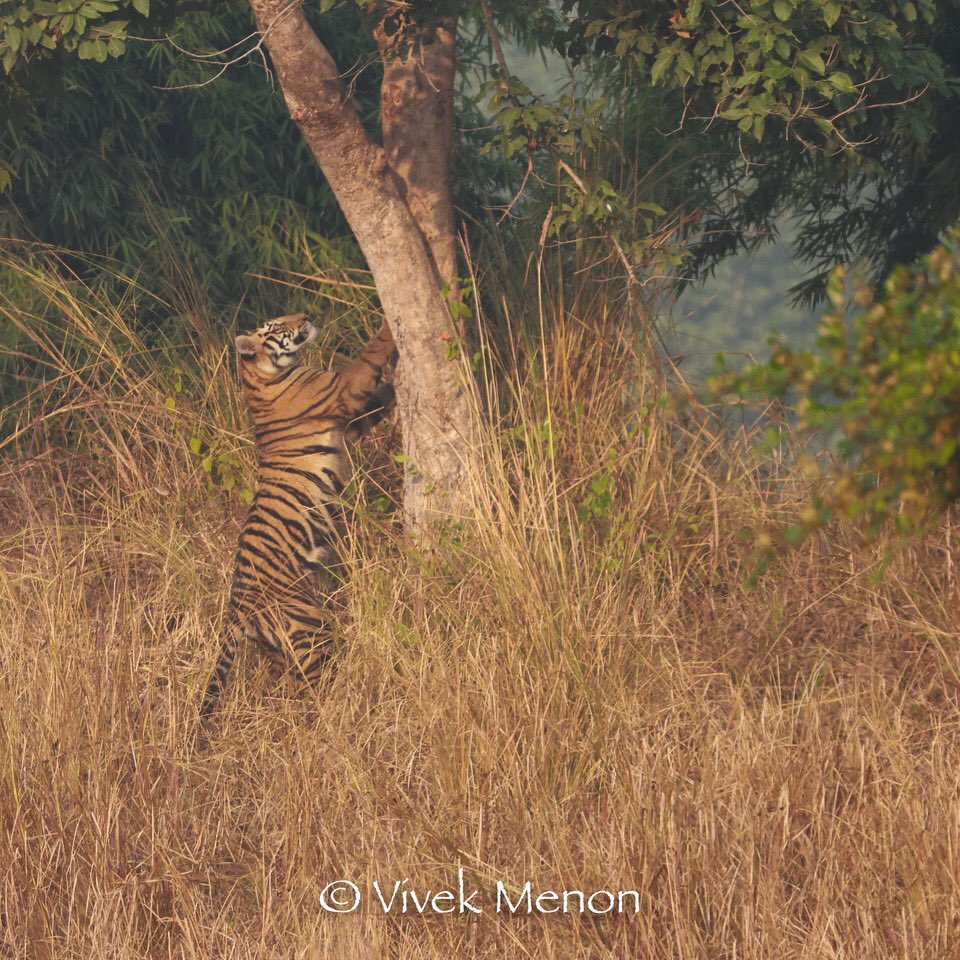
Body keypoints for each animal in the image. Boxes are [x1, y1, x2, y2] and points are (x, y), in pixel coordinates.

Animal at [201, 312, 396, 717]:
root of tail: (236, 614)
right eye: (277, 326)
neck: (256, 378)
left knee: (287, 681)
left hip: (278, 646)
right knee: (312, 680)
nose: (306, 315)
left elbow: (381, 396)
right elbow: (371, 352)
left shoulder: (350, 423)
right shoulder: (342, 389)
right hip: (309, 624)